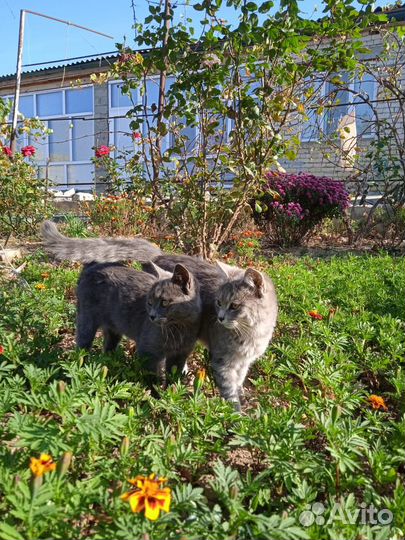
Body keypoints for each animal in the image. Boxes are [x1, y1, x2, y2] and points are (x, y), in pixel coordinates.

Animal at [75, 260, 200, 390]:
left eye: (164, 302)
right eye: (150, 302)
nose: (151, 316)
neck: (178, 328)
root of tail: (94, 266)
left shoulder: (180, 354)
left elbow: (174, 375)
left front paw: (171, 390)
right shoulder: (148, 351)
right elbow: (150, 375)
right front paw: (154, 393)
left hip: (113, 328)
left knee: (109, 346)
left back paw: (109, 362)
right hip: (87, 319)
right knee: (82, 346)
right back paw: (83, 367)